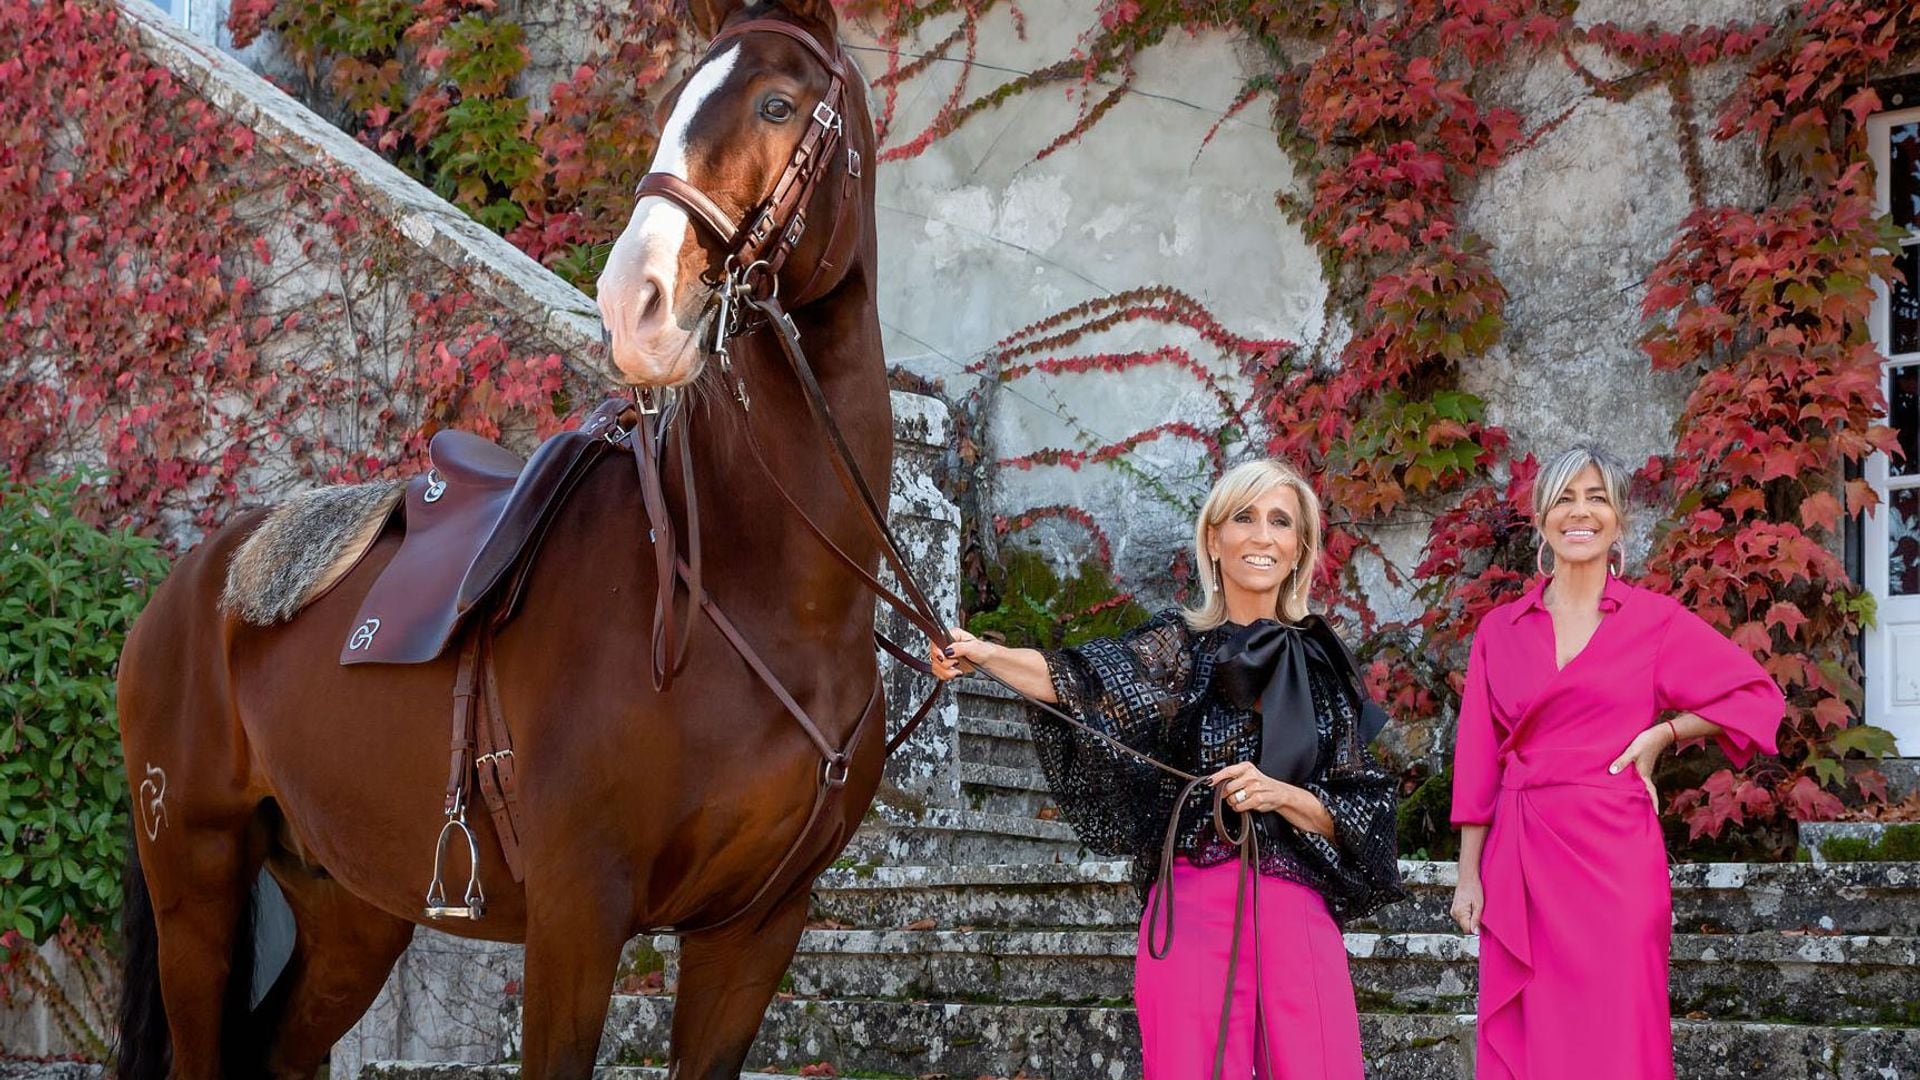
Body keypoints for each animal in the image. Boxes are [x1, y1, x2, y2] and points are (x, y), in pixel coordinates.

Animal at [116, 4, 894, 1068]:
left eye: (777, 103)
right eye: (673, 103)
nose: (633, 306)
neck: (766, 597)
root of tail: (190, 583)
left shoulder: (756, 933)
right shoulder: (579, 914)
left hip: (353, 906)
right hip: (194, 878)